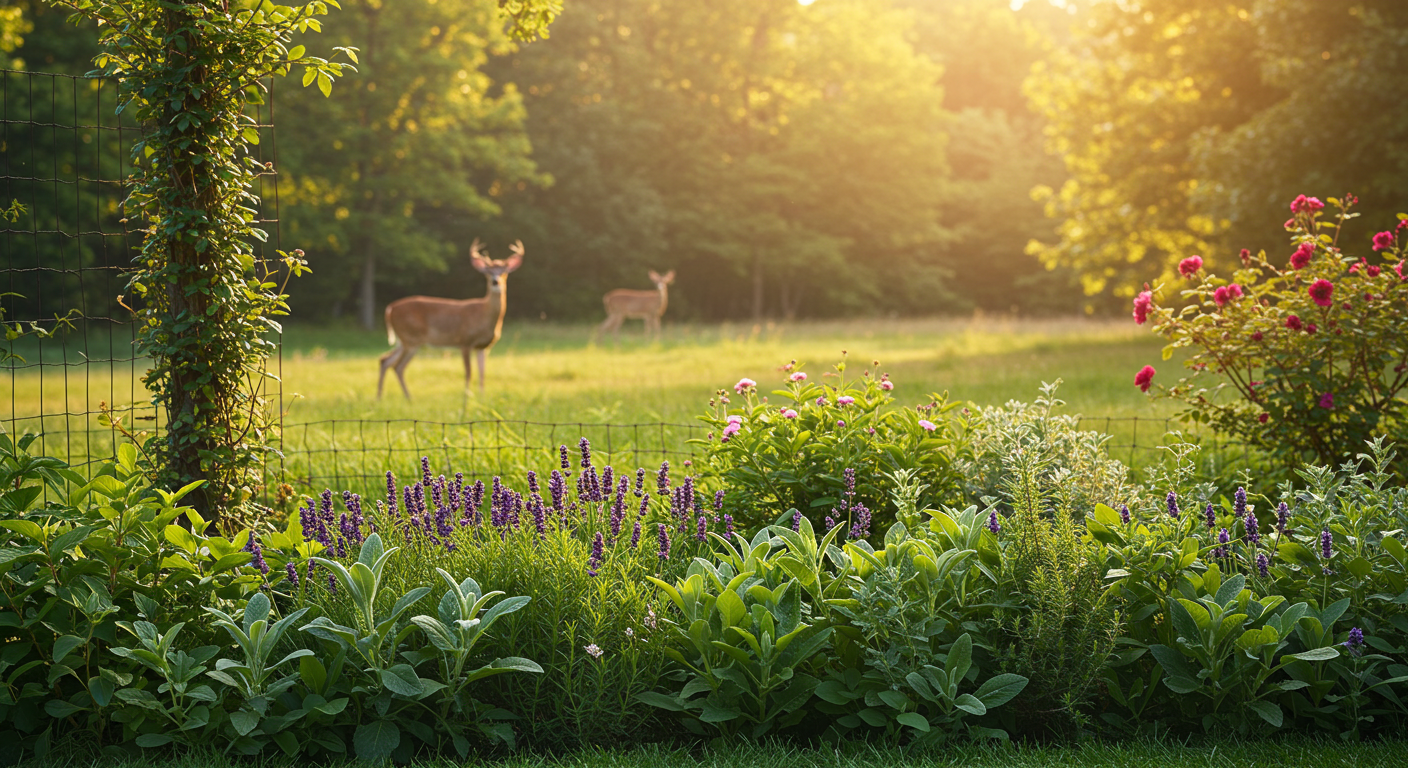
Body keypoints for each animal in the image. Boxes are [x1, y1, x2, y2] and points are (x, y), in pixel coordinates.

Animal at [377, 239, 523, 400]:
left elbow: (482, 373)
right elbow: (469, 372)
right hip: (411, 338)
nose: (495, 282)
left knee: (385, 360)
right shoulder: (464, 341)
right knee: (398, 366)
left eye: (504, 272)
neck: (485, 316)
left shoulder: (483, 346)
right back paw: (409, 398)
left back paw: (380, 398)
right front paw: (467, 396)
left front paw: (482, 397)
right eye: (488, 272)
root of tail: (390, 308)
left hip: (403, 340)